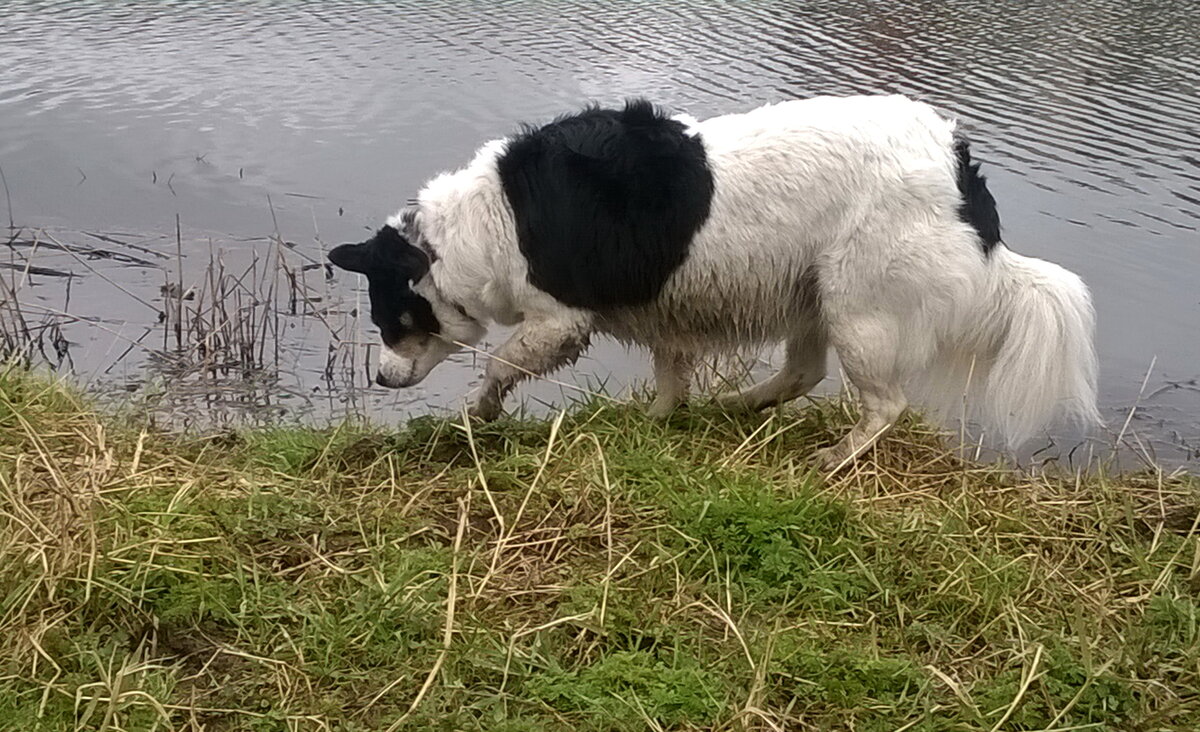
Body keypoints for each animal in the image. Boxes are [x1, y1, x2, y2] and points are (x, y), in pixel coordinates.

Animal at [328, 94, 1099, 465]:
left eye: (390, 319)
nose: (379, 381)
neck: (482, 223)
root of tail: (963, 174)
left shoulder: (560, 319)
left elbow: (499, 365)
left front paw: (475, 414)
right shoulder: (667, 318)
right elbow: (671, 382)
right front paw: (655, 423)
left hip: (860, 309)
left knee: (884, 406)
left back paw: (836, 458)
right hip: (817, 297)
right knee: (803, 373)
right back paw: (738, 405)